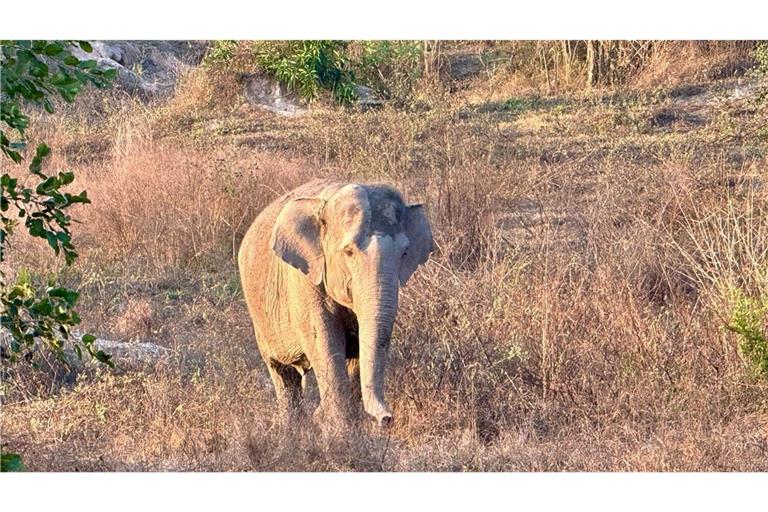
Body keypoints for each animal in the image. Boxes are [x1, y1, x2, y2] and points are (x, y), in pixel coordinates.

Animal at [238, 179, 433, 429]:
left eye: (404, 253)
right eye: (348, 252)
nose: (387, 419)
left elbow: (359, 350)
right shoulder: (305, 281)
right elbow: (325, 341)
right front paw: (338, 431)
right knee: (282, 374)